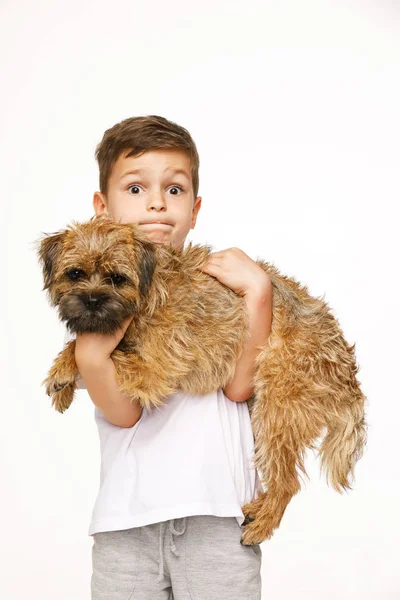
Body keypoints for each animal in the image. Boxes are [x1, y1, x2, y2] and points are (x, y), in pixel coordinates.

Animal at [36, 214, 368, 544]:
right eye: (75, 274)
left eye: (117, 279)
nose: (92, 300)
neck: (149, 290)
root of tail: (349, 377)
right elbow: (81, 347)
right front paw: (62, 378)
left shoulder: (155, 371)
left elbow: (110, 354)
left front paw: (64, 372)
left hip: (277, 412)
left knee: (287, 483)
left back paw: (261, 524)